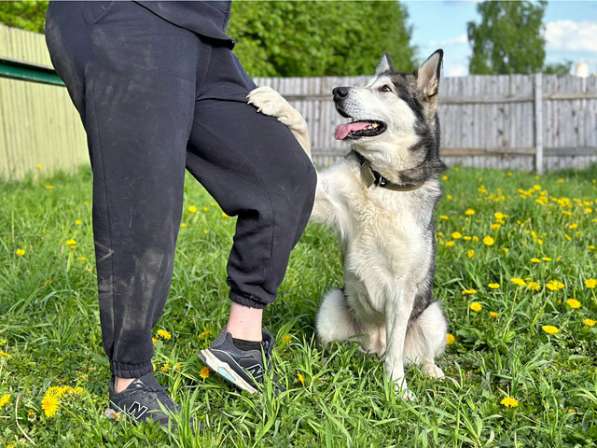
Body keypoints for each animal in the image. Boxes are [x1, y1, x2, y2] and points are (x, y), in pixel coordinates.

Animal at [247, 50, 448, 400]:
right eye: (365, 83)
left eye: (385, 89)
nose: (338, 91)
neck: (380, 182)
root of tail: (373, 343)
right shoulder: (318, 193)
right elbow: (303, 131)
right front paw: (276, 102)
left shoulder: (403, 289)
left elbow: (396, 351)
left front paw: (397, 391)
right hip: (331, 306)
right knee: (344, 346)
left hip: (433, 315)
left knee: (414, 353)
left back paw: (430, 370)